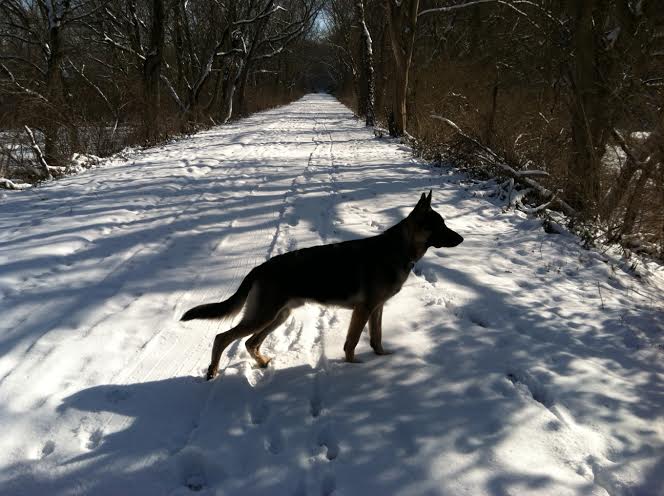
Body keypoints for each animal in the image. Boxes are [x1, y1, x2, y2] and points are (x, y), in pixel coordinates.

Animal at [182, 191, 462, 380]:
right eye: (440, 225)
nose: (461, 238)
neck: (399, 249)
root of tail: (259, 268)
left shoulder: (376, 309)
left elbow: (377, 338)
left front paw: (381, 359)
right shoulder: (363, 310)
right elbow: (351, 343)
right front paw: (355, 368)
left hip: (279, 316)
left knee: (251, 342)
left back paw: (262, 363)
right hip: (264, 315)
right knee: (223, 337)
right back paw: (213, 371)